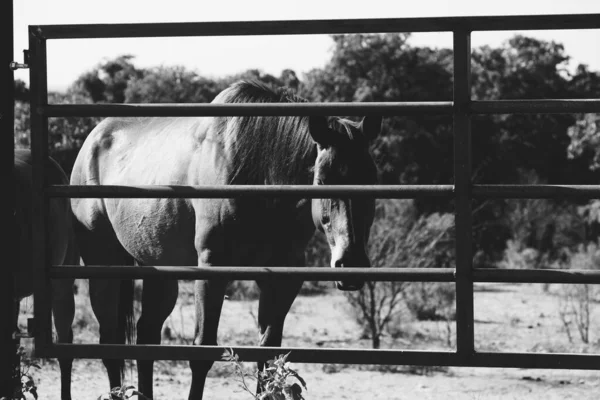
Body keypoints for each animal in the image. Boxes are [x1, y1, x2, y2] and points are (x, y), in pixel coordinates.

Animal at [69, 79, 380, 398]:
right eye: (321, 180)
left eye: (373, 179)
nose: (350, 263)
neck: (258, 175)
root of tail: (92, 141)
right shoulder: (212, 270)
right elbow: (202, 353)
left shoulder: (283, 278)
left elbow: (268, 355)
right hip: (104, 265)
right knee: (110, 341)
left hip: (158, 269)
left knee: (147, 336)